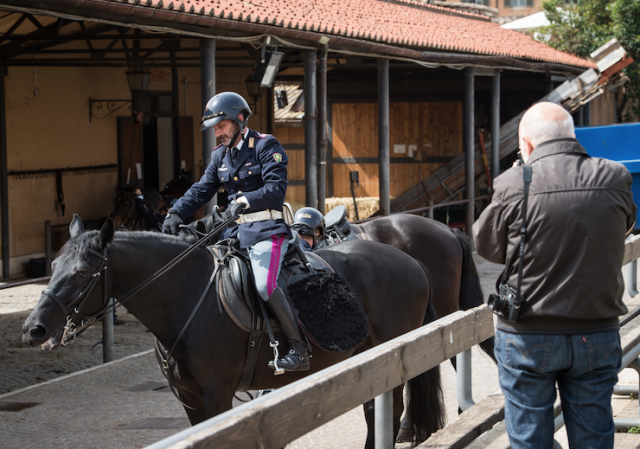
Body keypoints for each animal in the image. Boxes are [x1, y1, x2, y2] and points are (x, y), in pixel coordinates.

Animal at [23, 217, 444, 444]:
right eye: (54, 264)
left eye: (82, 272)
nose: (34, 329)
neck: (186, 296)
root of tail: (413, 263)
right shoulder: (191, 400)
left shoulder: (216, 395)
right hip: (366, 357)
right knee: (375, 410)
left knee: (391, 410)